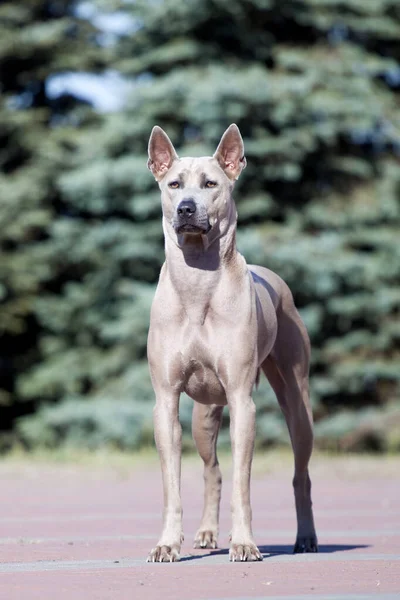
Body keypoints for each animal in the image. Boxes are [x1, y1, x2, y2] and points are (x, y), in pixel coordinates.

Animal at [145, 123, 318, 564]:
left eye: (211, 184)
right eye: (174, 184)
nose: (186, 209)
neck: (198, 284)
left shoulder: (243, 399)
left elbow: (244, 480)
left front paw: (244, 543)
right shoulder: (166, 399)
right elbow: (173, 482)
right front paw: (167, 543)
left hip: (297, 399)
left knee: (301, 473)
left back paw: (306, 538)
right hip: (203, 415)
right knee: (213, 469)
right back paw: (206, 533)